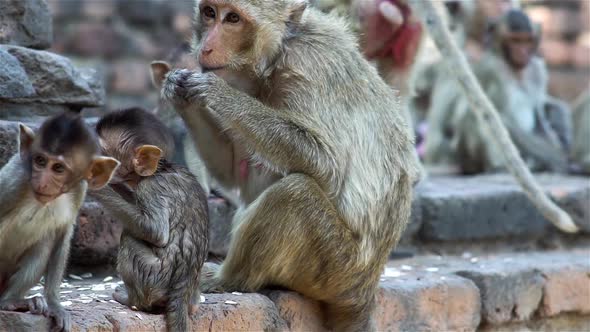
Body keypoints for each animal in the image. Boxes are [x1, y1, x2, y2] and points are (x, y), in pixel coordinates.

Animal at [0, 113, 120, 330]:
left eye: (58, 168)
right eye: (40, 161)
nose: (42, 182)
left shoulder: (79, 191)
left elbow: (61, 236)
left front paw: (54, 304)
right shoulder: (14, 181)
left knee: (44, 244)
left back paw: (9, 301)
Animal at [90, 107, 210, 332]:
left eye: (105, 154)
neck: (161, 169)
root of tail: (182, 290)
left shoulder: (151, 188)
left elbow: (155, 232)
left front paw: (93, 185)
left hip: (152, 279)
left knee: (129, 238)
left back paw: (133, 301)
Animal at [162, 0, 420, 330]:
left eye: (233, 18)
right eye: (210, 13)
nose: (205, 47)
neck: (276, 56)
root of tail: (366, 287)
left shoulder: (307, 66)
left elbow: (327, 165)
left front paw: (216, 92)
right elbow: (236, 175)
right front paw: (178, 90)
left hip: (336, 268)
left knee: (295, 192)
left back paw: (229, 279)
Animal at [410, 0, 580, 233]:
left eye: (527, 41)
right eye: (515, 41)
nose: (523, 52)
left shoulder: (537, 70)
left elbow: (540, 113)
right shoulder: (492, 70)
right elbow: (500, 115)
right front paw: (562, 161)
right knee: (470, 115)